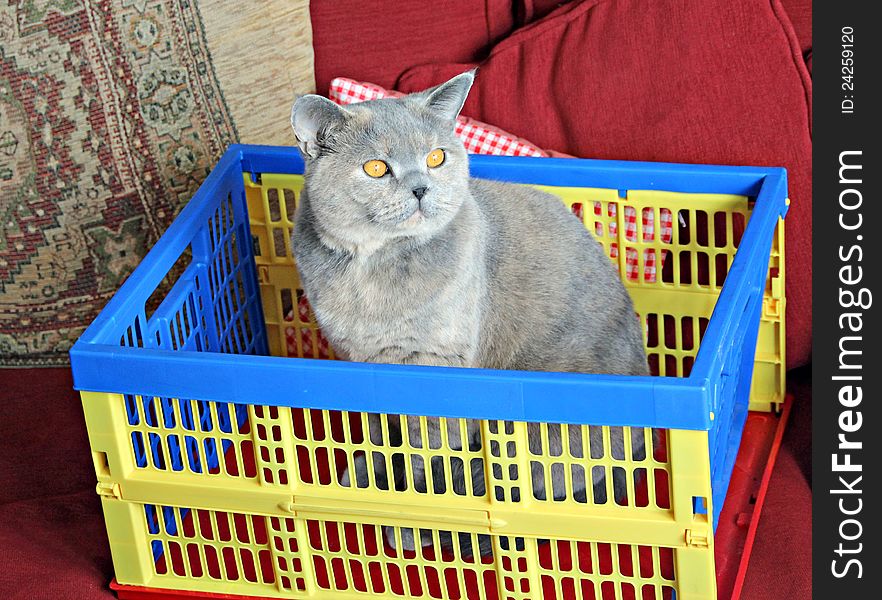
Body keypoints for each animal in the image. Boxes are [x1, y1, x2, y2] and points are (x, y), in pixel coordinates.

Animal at [288, 70, 648, 556]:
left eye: (436, 157)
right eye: (377, 168)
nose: (421, 187)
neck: (372, 269)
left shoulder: (436, 369)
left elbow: (426, 456)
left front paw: (411, 511)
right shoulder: (361, 364)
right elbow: (383, 437)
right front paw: (376, 475)